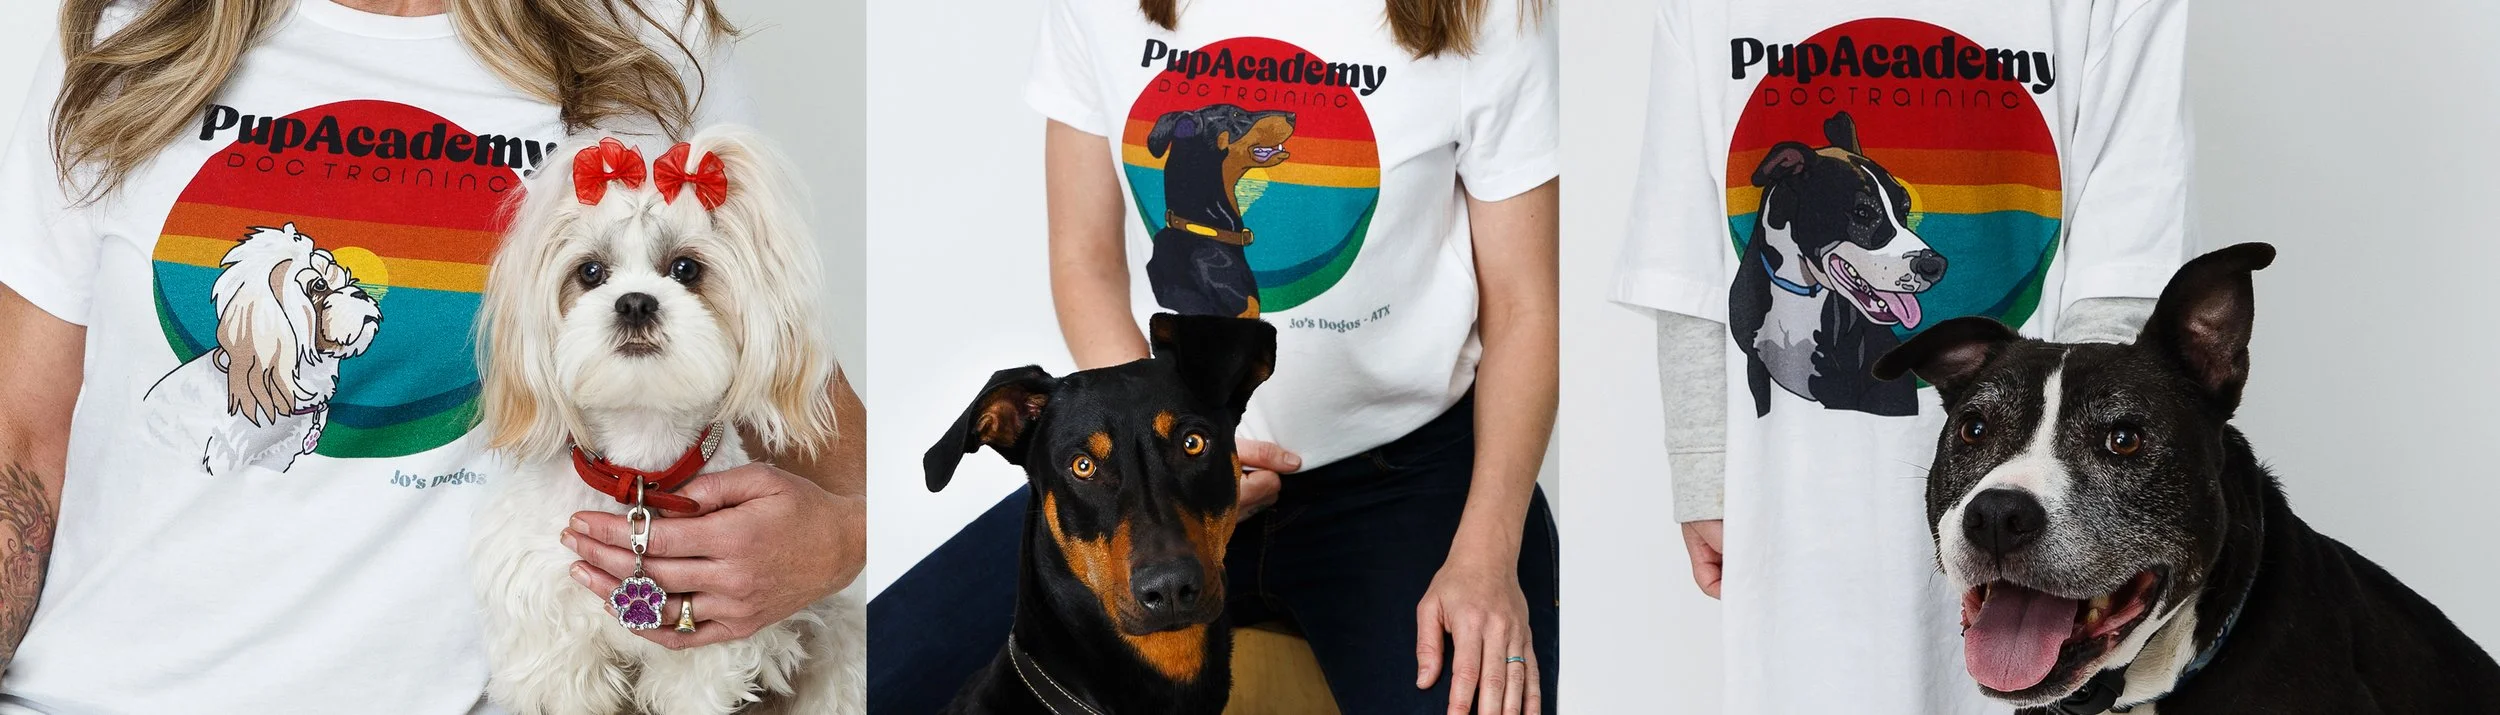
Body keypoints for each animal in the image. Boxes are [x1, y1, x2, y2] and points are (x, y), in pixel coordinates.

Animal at [469, 128, 864, 715]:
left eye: (686, 269)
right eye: (590, 272)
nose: (635, 303)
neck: (641, 472)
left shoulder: (708, 655)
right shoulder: (553, 647)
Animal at [1732, 111, 1948, 417]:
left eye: (1904, 209)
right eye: (1862, 212)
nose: (1935, 266)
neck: (1799, 288)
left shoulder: (1840, 384)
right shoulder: (1756, 369)